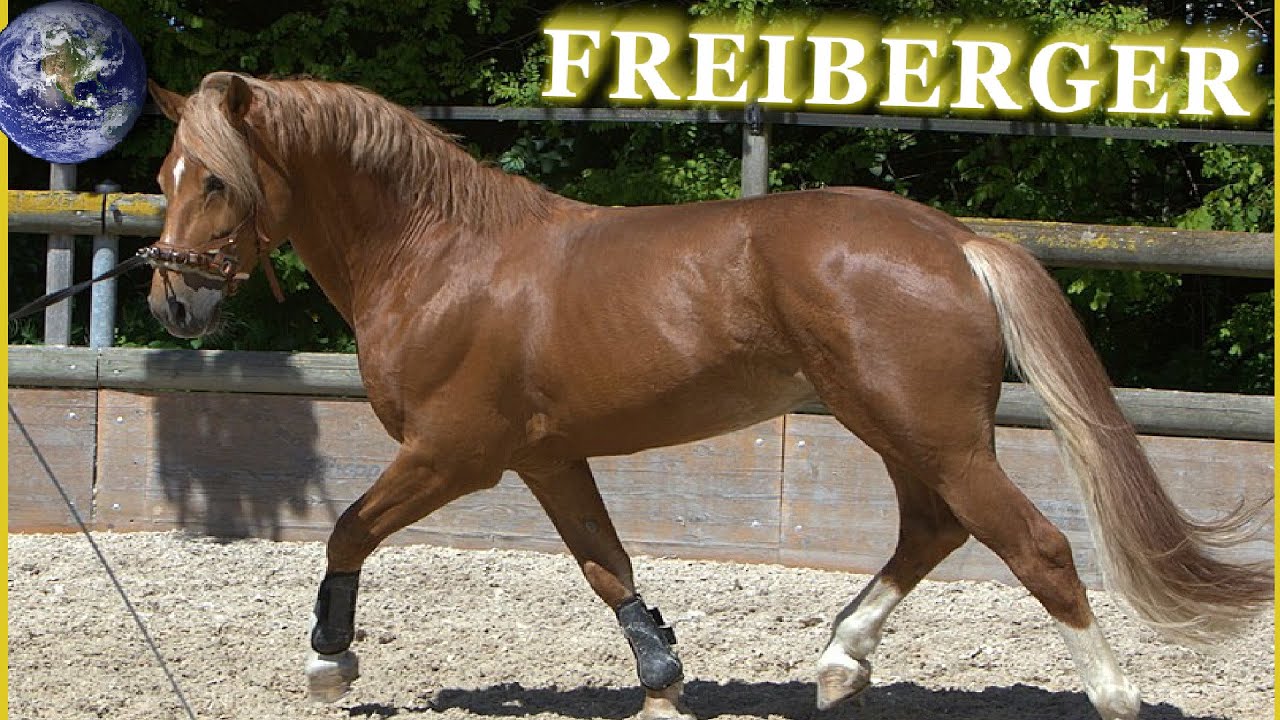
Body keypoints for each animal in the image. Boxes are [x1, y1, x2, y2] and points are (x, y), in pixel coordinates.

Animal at [142, 72, 1270, 720]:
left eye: (218, 180)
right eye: (164, 175)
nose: (172, 302)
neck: (442, 256)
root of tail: (953, 240)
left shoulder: (454, 454)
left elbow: (346, 529)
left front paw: (329, 666)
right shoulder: (546, 456)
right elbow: (608, 568)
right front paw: (663, 683)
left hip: (929, 433)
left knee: (1031, 546)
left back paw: (1112, 693)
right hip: (898, 429)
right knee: (933, 531)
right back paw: (838, 663)